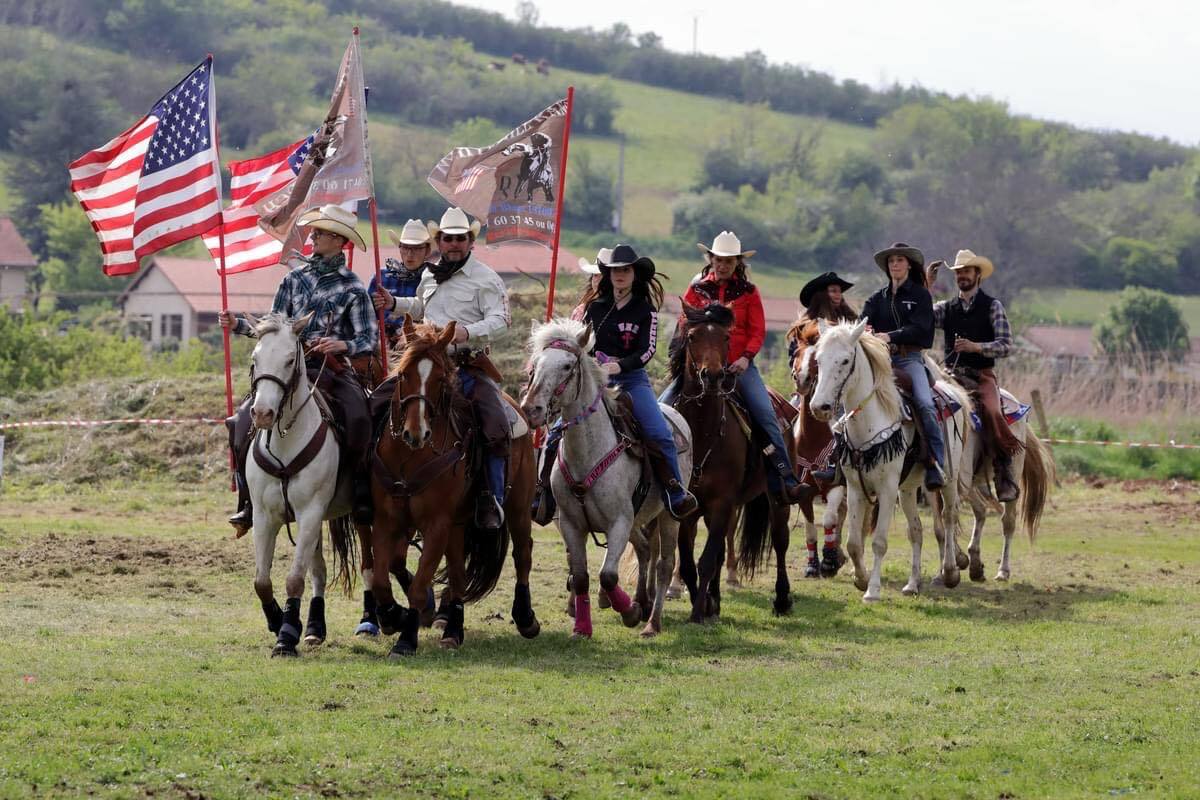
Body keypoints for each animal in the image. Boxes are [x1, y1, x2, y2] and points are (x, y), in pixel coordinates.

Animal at [242, 311, 355, 657]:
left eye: (290, 360)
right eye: (255, 358)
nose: (262, 413)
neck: (286, 442)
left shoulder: (309, 514)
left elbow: (294, 579)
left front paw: (286, 637)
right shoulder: (264, 516)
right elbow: (262, 581)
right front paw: (277, 621)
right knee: (318, 570)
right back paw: (315, 628)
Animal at [352, 314, 542, 657]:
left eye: (440, 379)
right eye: (404, 375)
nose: (416, 433)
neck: (409, 456)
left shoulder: (436, 524)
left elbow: (417, 586)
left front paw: (406, 638)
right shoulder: (388, 521)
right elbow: (384, 579)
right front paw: (393, 617)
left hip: (518, 508)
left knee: (523, 553)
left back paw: (525, 619)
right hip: (458, 525)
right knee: (457, 574)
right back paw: (453, 629)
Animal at [520, 319, 691, 638]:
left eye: (567, 366)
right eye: (534, 365)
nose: (531, 409)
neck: (588, 452)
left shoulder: (619, 522)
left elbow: (608, 575)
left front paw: (630, 613)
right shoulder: (571, 524)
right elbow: (581, 576)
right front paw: (582, 627)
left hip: (668, 515)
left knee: (664, 564)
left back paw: (652, 621)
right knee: (644, 550)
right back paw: (641, 602)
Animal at [667, 303, 796, 623]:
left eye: (726, 338)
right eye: (692, 336)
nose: (712, 376)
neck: (703, 433)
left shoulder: (723, 502)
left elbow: (706, 560)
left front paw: (697, 613)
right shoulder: (689, 508)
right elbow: (689, 561)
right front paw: (705, 604)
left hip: (777, 499)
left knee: (780, 541)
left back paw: (782, 599)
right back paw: (715, 600)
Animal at [806, 319, 974, 599]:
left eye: (845, 360)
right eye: (818, 360)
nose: (820, 407)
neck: (871, 422)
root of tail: (951, 390)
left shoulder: (886, 489)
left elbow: (879, 542)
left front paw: (872, 590)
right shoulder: (855, 488)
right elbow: (854, 542)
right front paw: (860, 579)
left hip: (948, 479)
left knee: (949, 516)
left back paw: (949, 572)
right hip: (907, 489)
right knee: (916, 531)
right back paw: (912, 584)